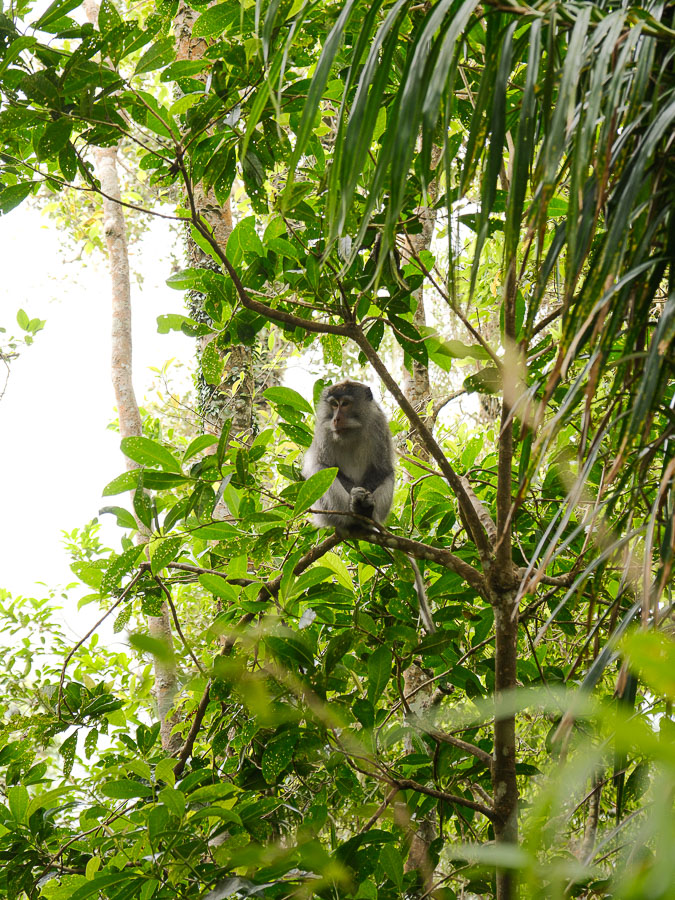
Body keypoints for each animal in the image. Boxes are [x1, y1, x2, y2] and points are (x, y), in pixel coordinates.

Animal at [302, 380, 436, 633]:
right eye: (333, 405)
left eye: (345, 404)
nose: (336, 419)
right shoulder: (324, 431)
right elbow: (326, 467)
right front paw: (356, 498)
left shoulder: (378, 424)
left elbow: (381, 469)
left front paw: (364, 501)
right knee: (322, 473)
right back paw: (352, 515)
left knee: (388, 477)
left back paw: (366, 514)